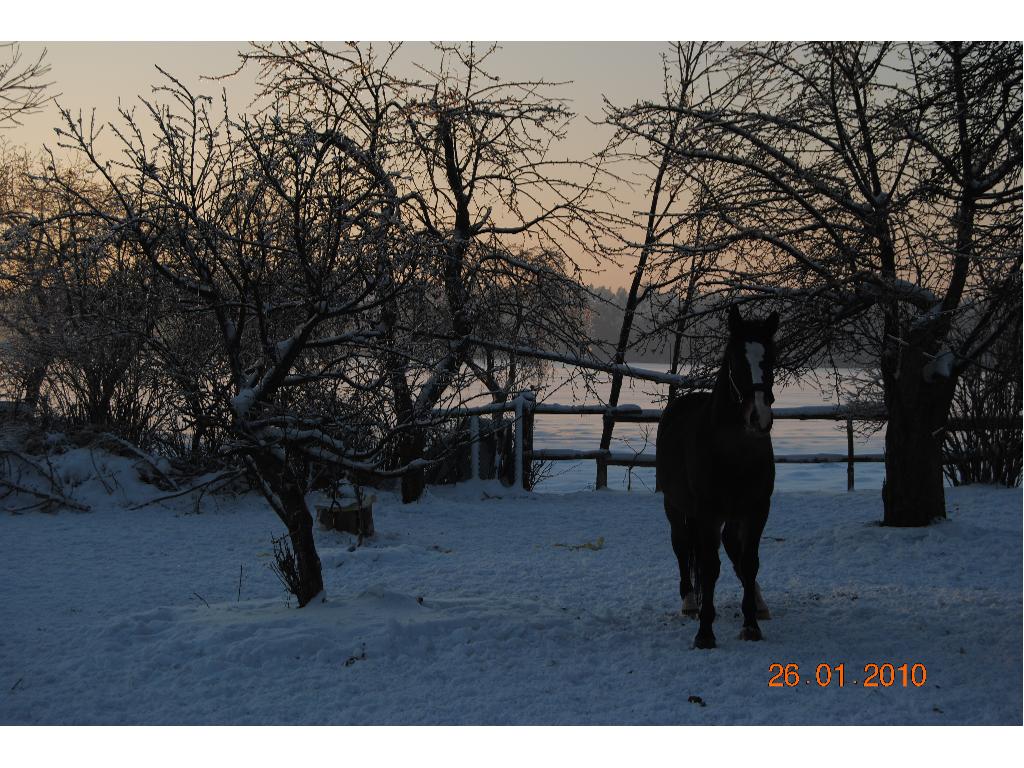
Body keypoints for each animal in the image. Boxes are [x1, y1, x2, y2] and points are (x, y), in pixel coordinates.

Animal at [655, 307, 774, 651]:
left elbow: (749, 561)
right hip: (676, 507)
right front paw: (705, 633)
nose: (758, 417)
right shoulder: (707, 512)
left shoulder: (756, 509)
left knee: (733, 549)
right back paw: (690, 602)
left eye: (771, 358)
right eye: (736, 360)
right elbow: (708, 567)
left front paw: (750, 625)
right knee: (682, 546)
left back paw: (758, 602)